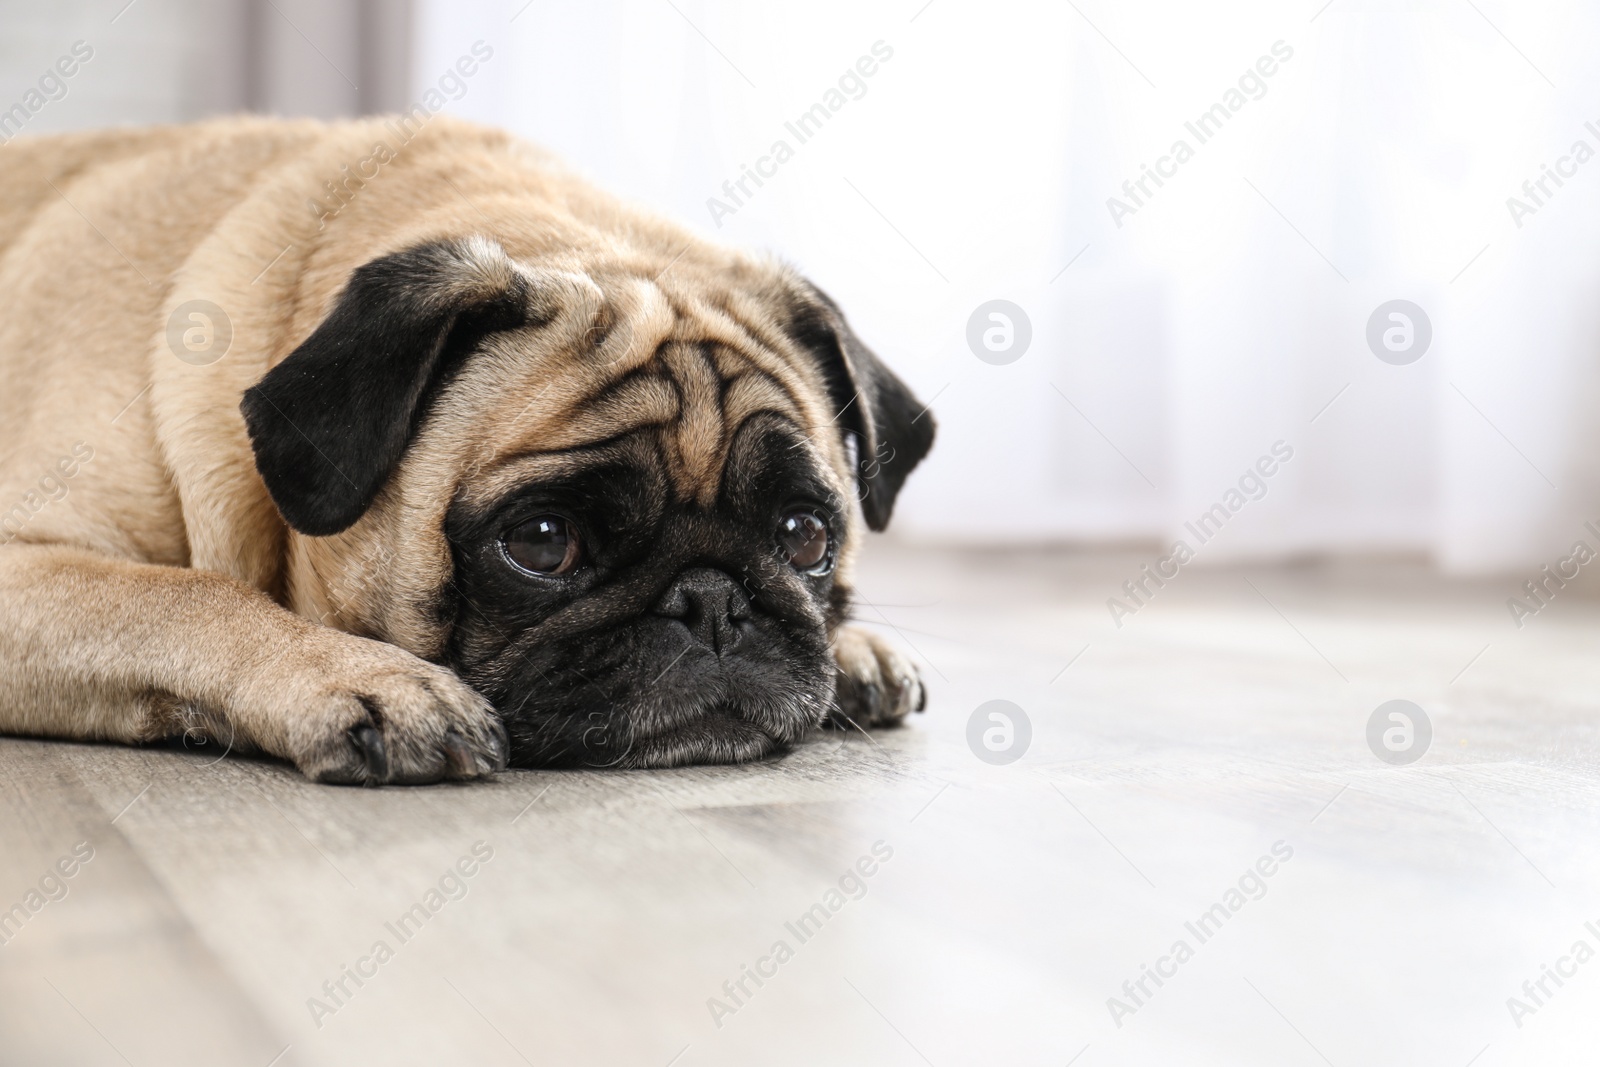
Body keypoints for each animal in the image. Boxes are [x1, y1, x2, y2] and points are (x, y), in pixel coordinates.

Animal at [0, 115, 934, 783]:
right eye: (543, 543)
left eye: (805, 537)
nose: (711, 601)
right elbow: (181, 596)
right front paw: (362, 676)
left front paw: (853, 648)